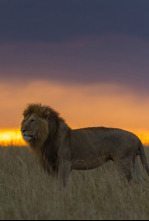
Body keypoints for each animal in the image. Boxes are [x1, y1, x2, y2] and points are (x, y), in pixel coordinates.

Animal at [20, 103, 149, 186]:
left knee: (129, 183)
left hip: (123, 163)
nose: (22, 130)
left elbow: (62, 185)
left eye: (32, 121)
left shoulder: (65, 163)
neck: (46, 138)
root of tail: (137, 138)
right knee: (141, 180)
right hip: (133, 162)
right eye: (24, 121)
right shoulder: (54, 166)